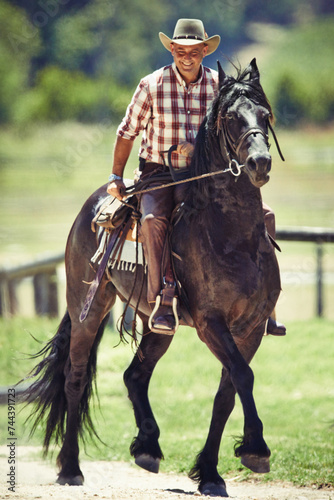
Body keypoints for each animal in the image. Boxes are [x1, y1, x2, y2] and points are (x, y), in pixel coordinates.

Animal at [23, 59, 284, 496]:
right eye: (232, 118)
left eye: (266, 115)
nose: (260, 163)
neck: (232, 235)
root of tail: (95, 203)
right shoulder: (212, 324)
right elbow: (242, 377)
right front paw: (256, 450)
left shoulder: (250, 328)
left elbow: (227, 392)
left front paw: (210, 473)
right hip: (88, 309)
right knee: (75, 378)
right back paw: (71, 468)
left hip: (159, 324)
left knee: (135, 375)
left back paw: (147, 448)